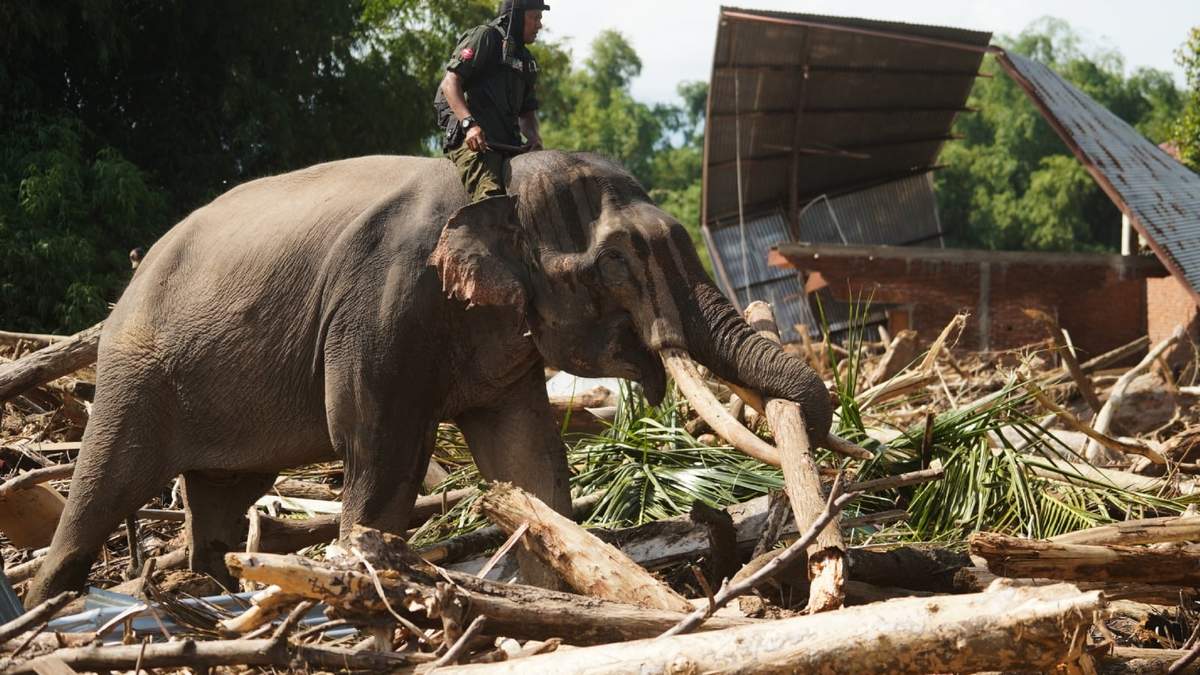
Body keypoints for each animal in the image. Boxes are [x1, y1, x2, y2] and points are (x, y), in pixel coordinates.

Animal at [25, 150, 832, 606]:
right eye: (613, 265)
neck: (496, 182)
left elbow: (529, 462)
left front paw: (555, 589)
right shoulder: (379, 310)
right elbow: (381, 456)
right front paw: (363, 577)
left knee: (221, 501)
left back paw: (216, 591)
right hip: (136, 374)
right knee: (104, 485)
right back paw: (51, 601)